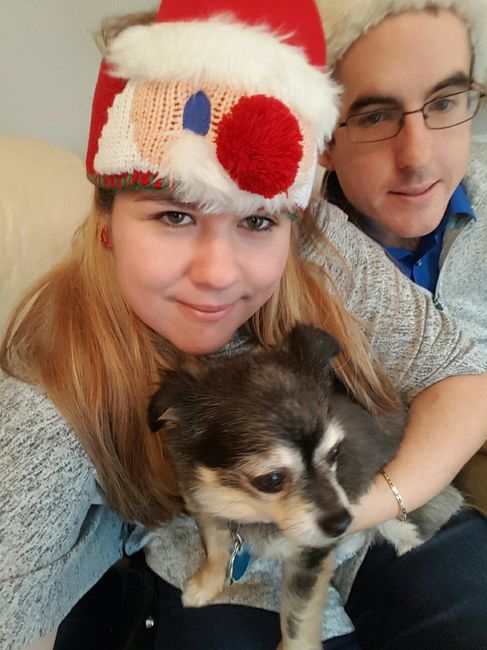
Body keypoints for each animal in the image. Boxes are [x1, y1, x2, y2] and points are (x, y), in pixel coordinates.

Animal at [148, 324, 463, 650]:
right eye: (271, 480)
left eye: (335, 452)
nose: (342, 523)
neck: (243, 505)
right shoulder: (205, 507)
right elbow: (215, 549)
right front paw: (206, 584)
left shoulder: (309, 556)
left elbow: (296, 617)